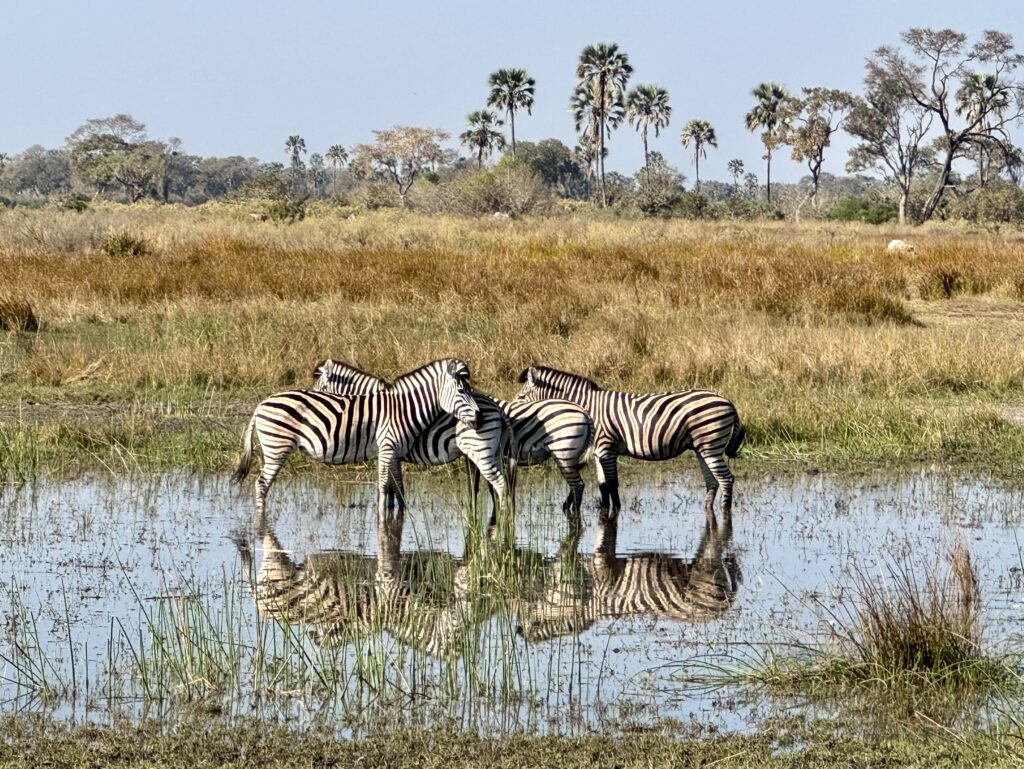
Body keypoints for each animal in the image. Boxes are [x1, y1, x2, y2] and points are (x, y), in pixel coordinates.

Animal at [232, 359, 481, 517]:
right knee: (261, 484)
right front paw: (383, 520)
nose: (479, 417)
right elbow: (384, 487)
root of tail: (261, 404)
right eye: (461, 392)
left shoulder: (393, 452)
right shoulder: (387, 447)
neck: (402, 409)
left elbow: (397, 488)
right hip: (277, 447)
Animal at [313, 359, 594, 515]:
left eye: (319, 388)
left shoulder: (393, 451)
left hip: (560, 454)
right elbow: (395, 488)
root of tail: (584, 413)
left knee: (575, 486)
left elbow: (392, 487)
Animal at [515, 367, 744, 520]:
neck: (587, 409)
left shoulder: (606, 449)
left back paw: (726, 512)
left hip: (711, 445)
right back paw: (707, 510)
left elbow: (612, 483)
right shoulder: (598, 452)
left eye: (521, 397)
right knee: (712, 481)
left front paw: (615, 511)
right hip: (701, 448)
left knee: (726, 479)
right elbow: (603, 485)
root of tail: (728, 401)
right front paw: (604, 510)